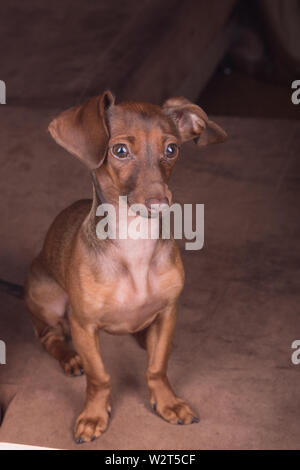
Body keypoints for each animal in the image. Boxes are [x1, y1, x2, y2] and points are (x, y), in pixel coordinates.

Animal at [24, 90, 226, 442]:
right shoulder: (84, 326)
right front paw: (93, 416)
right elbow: (99, 377)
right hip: (48, 301)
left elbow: (157, 367)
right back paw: (70, 357)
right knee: (49, 336)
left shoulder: (168, 312)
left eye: (171, 149)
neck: (135, 244)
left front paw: (168, 402)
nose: (161, 203)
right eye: (119, 150)